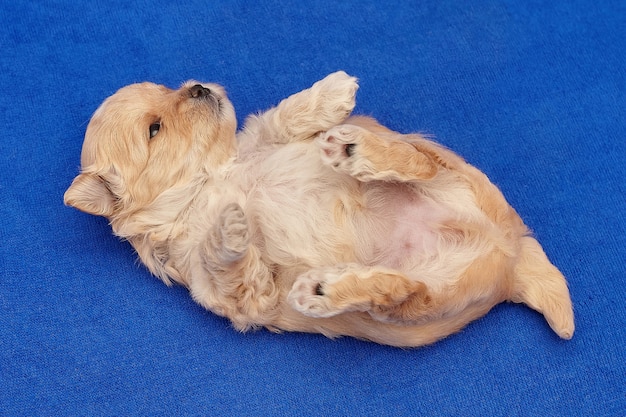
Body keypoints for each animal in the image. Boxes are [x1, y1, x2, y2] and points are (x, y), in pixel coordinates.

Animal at [62, 72, 572, 348]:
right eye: (155, 129)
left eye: (170, 87)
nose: (200, 87)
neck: (209, 179)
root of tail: (510, 251)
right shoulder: (235, 291)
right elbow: (226, 262)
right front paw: (229, 227)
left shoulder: (261, 138)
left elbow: (279, 118)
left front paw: (329, 93)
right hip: (432, 300)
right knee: (404, 293)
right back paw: (328, 289)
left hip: (446, 171)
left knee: (419, 164)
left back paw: (357, 151)